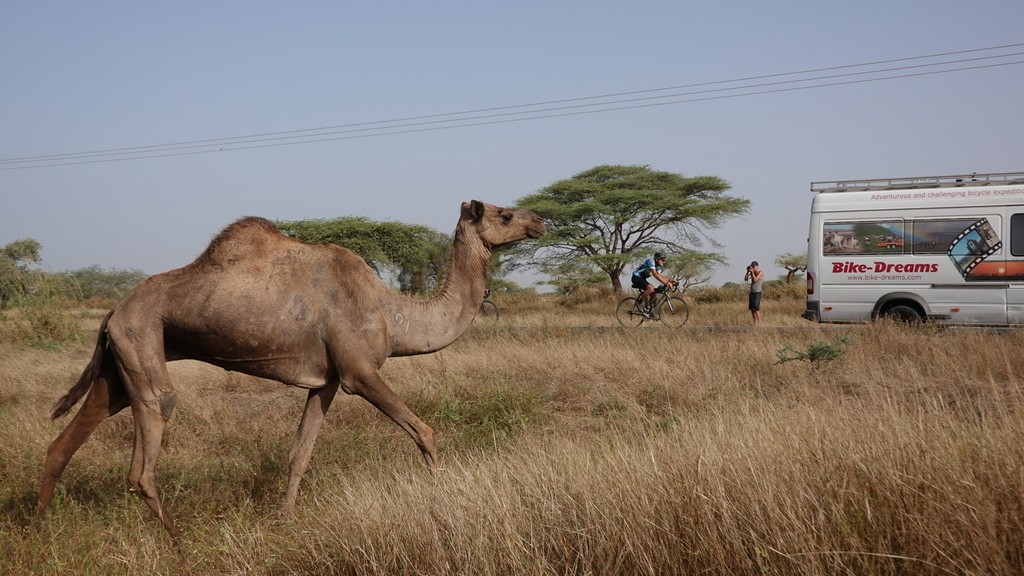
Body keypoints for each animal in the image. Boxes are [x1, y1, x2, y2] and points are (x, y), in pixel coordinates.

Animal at [34, 199, 544, 537]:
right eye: (502, 213)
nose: (540, 220)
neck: (392, 312)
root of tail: (112, 312)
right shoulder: (360, 373)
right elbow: (423, 430)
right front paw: (439, 493)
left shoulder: (328, 382)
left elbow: (299, 453)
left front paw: (285, 519)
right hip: (141, 340)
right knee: (148, 445)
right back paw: (177, 540)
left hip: (119, 365)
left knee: (65, 441)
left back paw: (40, 527)